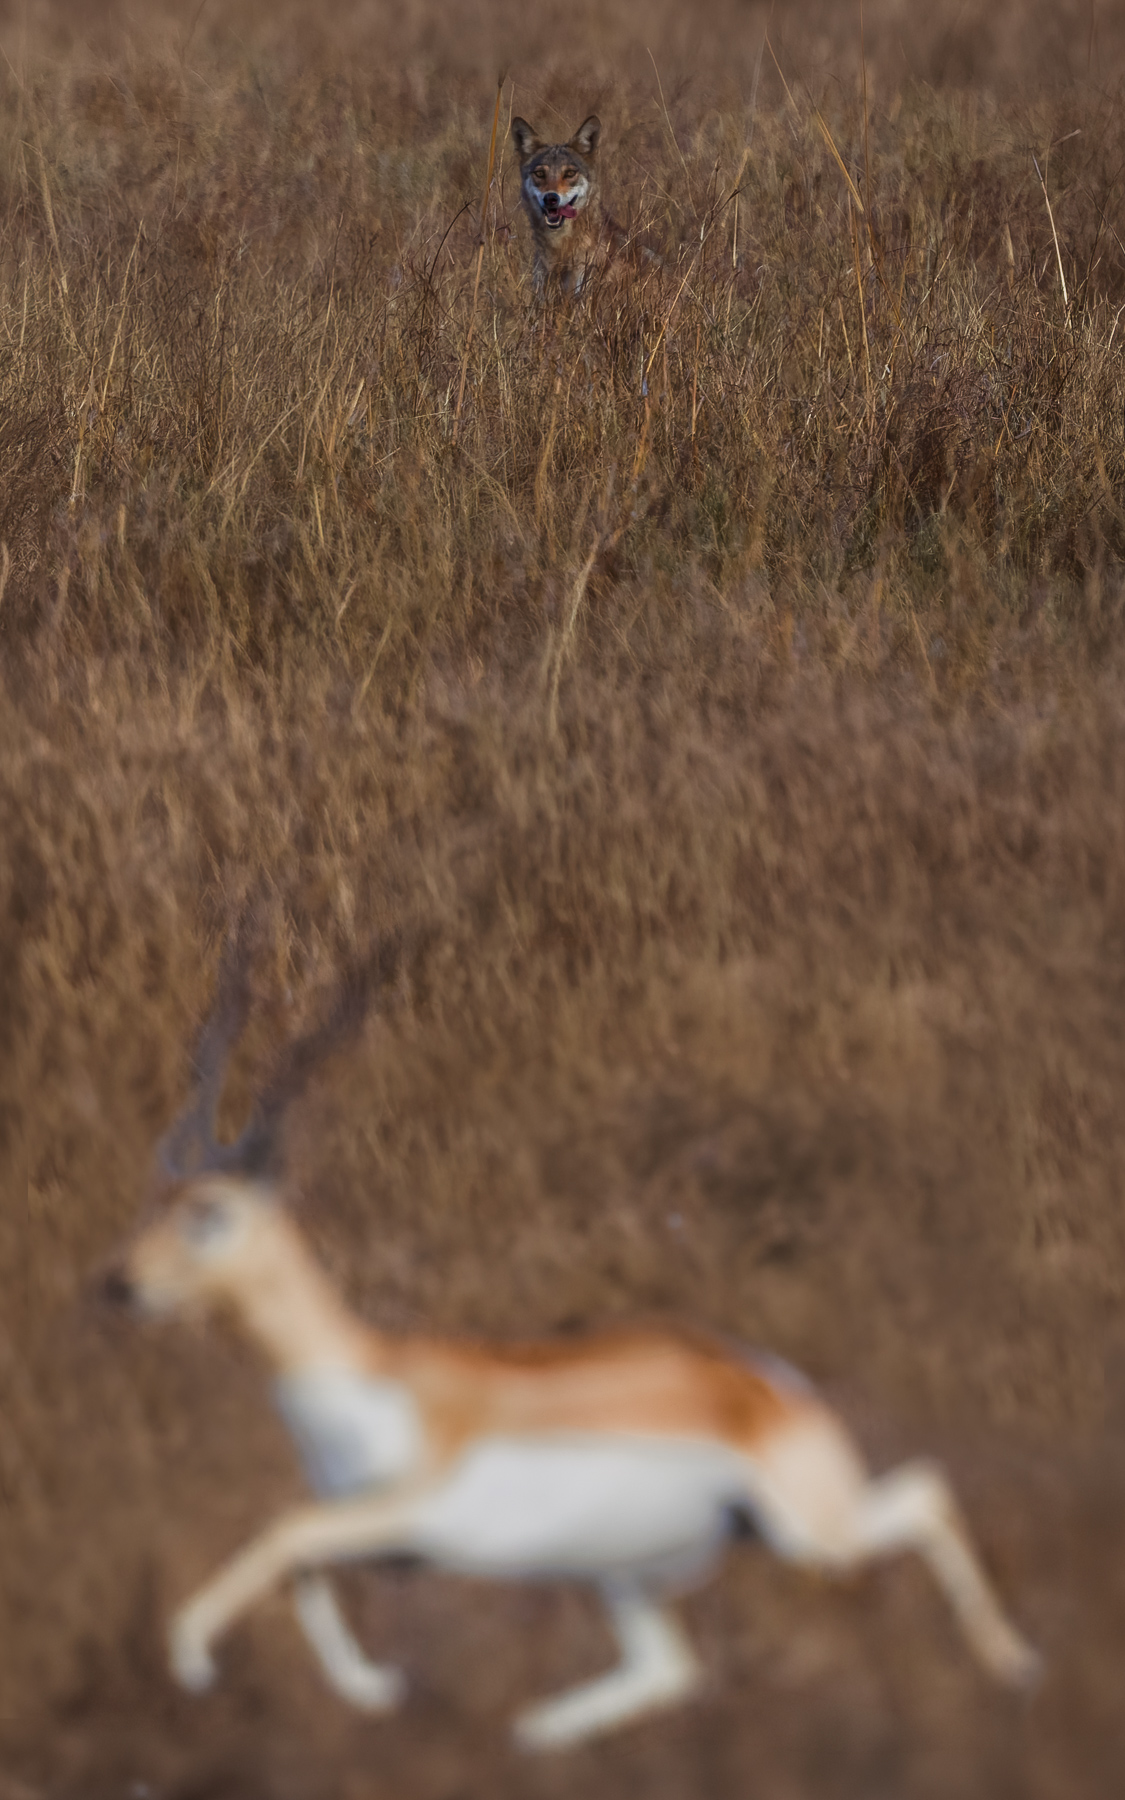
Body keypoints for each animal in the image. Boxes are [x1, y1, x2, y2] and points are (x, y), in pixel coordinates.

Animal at [102, 926, 1041, 1751]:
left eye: (210, 1213)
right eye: (154, 1201)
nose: (118, 1286)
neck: (372, 1378)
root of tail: (764, 1382)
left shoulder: (408, 1513)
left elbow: (282, 1533)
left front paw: (191, 1659)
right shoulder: (390, 1544)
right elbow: (301, 1566)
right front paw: (375, 1689)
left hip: (809, 1533)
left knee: (925, 1489)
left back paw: (1014, 1663)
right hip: (633, 1570)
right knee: (672, 1668)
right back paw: (534, 1735)